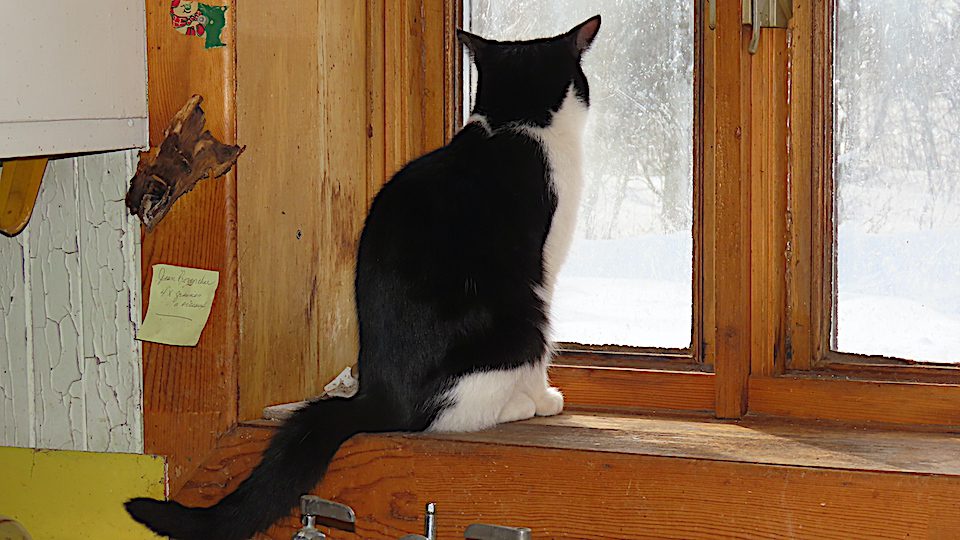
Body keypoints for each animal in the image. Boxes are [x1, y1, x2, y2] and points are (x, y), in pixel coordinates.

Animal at [126, 15, 601, 540]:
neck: (511, 125)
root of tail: (378, 396)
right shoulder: (545, 263)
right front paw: (544, 397)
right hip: (523, 317)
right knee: (458, 410)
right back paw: (519, 406)